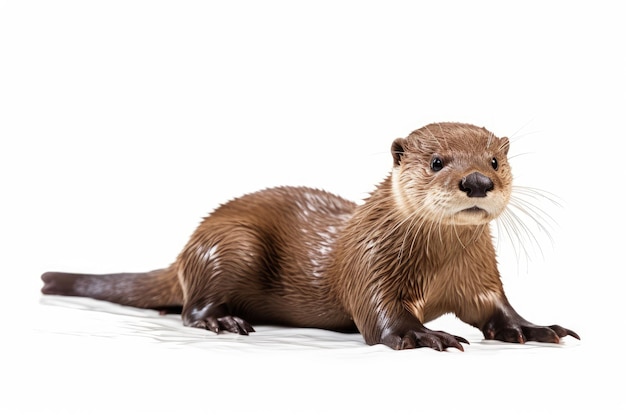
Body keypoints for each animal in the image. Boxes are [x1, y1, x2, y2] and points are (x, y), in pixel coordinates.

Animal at [39, 122, 576, 350]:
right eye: (437, 161)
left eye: (495, 161)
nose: (478, 182)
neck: (439, 266)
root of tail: (187, 248)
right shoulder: (370, 265)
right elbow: (382, 318)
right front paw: (425, 334)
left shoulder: (480, 276)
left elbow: (496, 309)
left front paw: (534, 328)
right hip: (231, 244)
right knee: (193, 306)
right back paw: (223, 320)